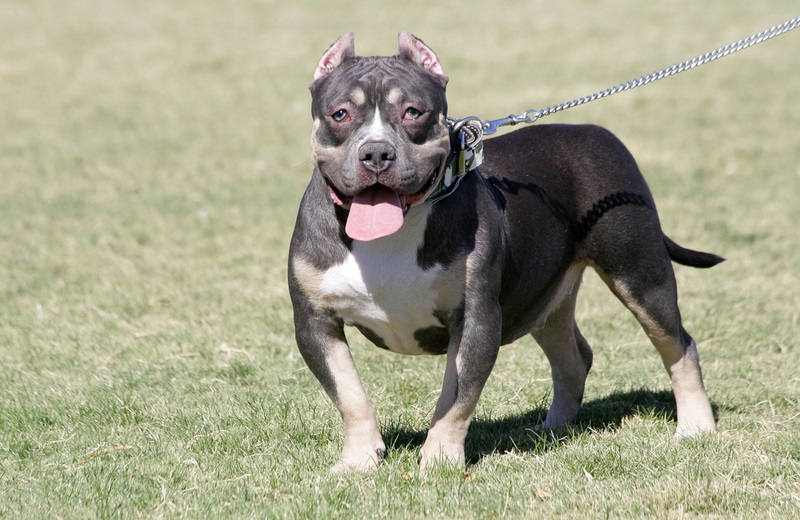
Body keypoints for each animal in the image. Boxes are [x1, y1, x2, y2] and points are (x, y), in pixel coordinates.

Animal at [286, 30, 720, 474]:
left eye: (412, 112)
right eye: (340, 114)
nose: (376, 152)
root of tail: (596, 133)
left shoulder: (476, 319)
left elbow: (456, 399)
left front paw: (439, 461)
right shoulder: (315, 322)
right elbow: (350, 395)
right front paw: (357, 462)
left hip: (640, 273)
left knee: (678, 344)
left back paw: (695, 426)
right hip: (542, 295)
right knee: (574, 356)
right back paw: (552, 430)